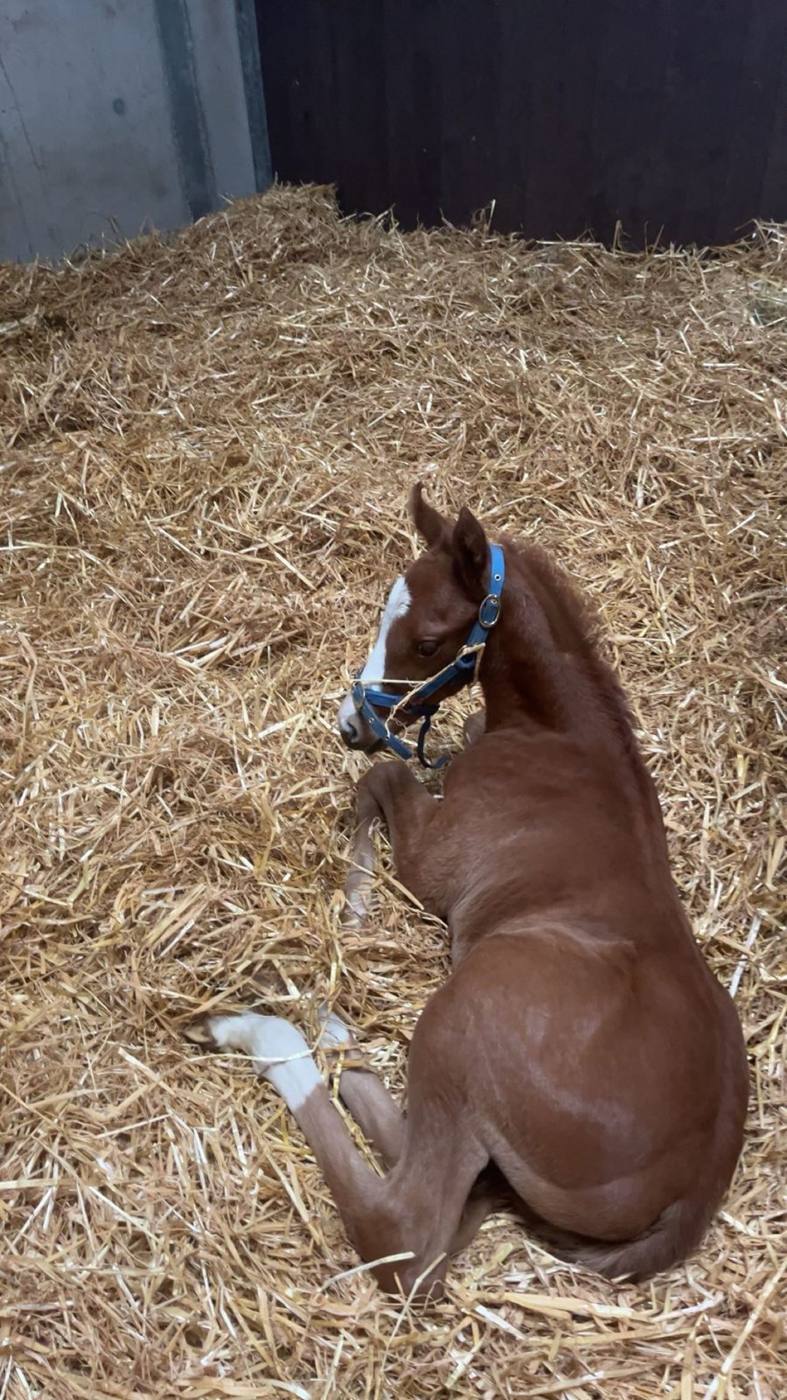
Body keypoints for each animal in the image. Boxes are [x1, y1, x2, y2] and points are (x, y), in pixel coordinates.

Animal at [185, 483, 748, 1302]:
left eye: (424, 641)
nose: (351, 723)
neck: (554, 735)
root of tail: (693, 1193)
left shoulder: (437, 861)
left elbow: (382, 778)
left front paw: (355, 904)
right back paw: (334, 1035)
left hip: (460, 1024)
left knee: (404, 1234)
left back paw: (267, 1034)